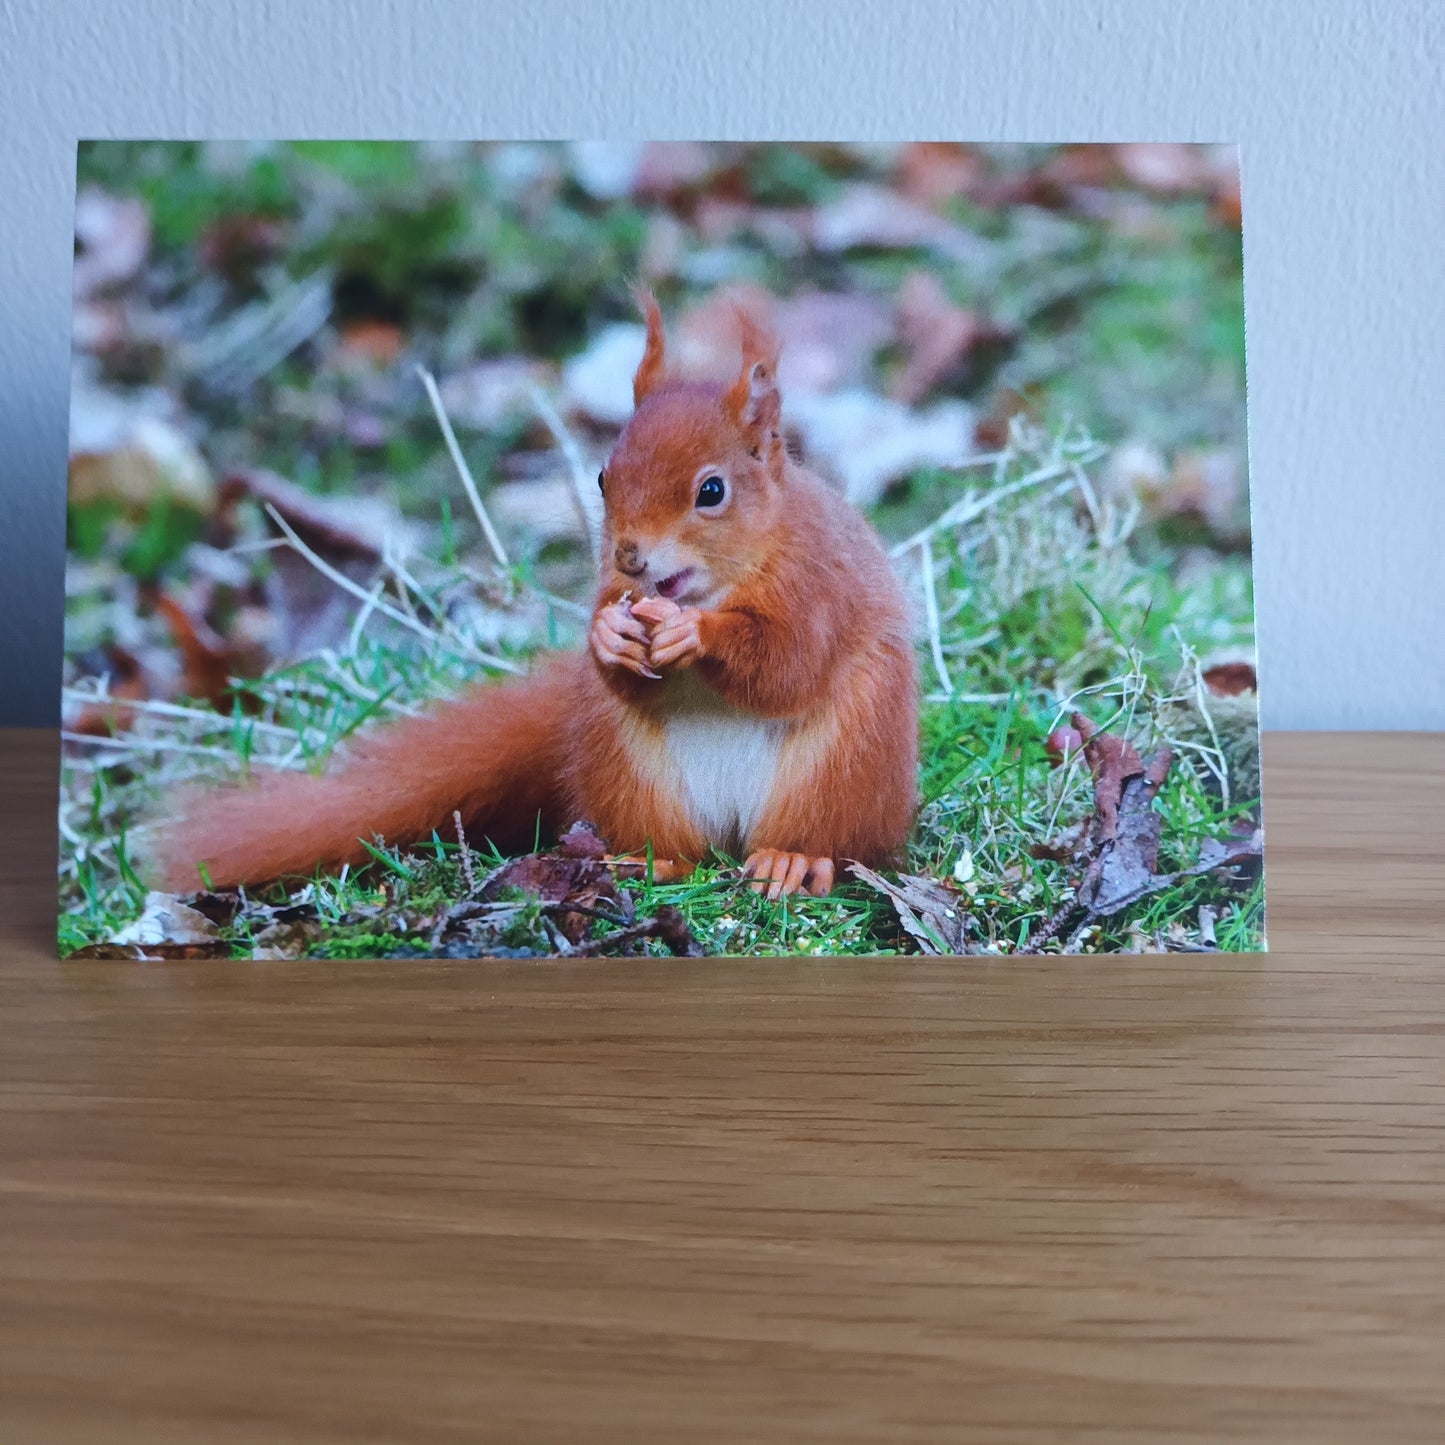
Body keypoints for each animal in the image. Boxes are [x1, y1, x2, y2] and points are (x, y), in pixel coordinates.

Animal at [157, 294, 919, 901]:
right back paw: (651, 863)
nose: (629, 555)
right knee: (671, 844)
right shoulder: (616, 596)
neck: (718, 582)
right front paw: (610, 639)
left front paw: (695, 636)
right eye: (606, 477)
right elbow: (621, 657)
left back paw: (791, 859)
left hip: (843, 766)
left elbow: (790, 660)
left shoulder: (817, 583)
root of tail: (732, 833)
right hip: (629, 772)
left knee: (821, 834)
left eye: (712, 491)